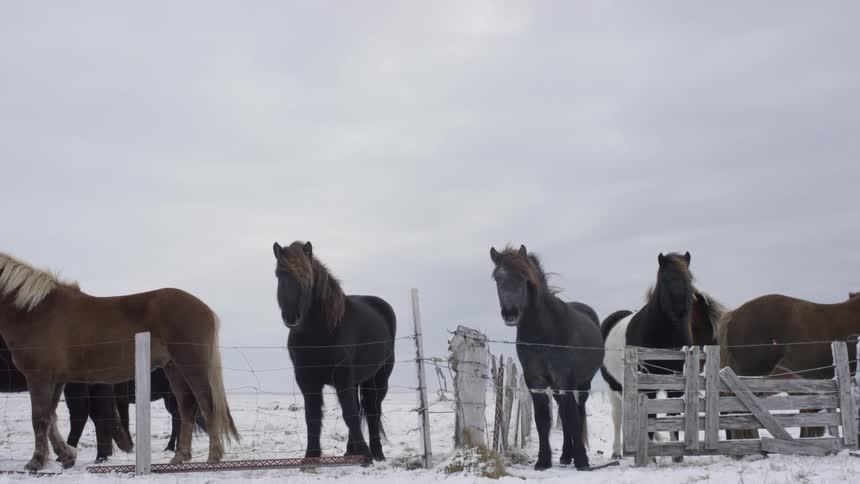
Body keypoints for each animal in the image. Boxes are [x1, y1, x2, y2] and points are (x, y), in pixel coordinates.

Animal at [0, 252, 239, 471]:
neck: (36, 312)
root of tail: (205, 309)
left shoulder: (39, 376)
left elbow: (40, 418)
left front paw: (36, 462)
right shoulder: (55, 379)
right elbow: (51, 418)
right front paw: (66, 456)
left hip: (192, 366)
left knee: (208, 405)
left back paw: (213, 457)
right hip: (174, 369)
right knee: (187, 409)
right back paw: (180, 457)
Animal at [273, 241, 396, 462]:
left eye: (307, 277)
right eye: (279, 274)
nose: (291, 317)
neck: (320, 333)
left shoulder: (342, 376)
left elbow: (350, 414)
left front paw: (365, 455)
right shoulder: (306, 379)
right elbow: (312, 417)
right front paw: (311, 457)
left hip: (379, 378)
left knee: (372, 411)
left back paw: (377, 453)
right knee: (362, 408)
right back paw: (350, 452)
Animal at [489, 244, 604, 471]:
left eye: (524, 277)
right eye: (497, 277)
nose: (510, 313)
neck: (543, 333)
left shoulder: (565, 380)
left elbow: (573, 419)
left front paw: (582, 460)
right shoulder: (536, 382)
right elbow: (543, 420)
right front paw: (543, 460)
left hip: (582, 384)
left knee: (577, 411)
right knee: (565, 414)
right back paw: (566, 456)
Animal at [600, 252, 697, 461]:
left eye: (689, 279)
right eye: (665, 279)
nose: (681, 312)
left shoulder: (676, 383)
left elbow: (672, 413)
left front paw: (676, 454)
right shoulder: (647, 385)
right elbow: (650, 416)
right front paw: (651, 455)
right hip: (614, 386)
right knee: (617, 416)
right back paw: (617, 451)